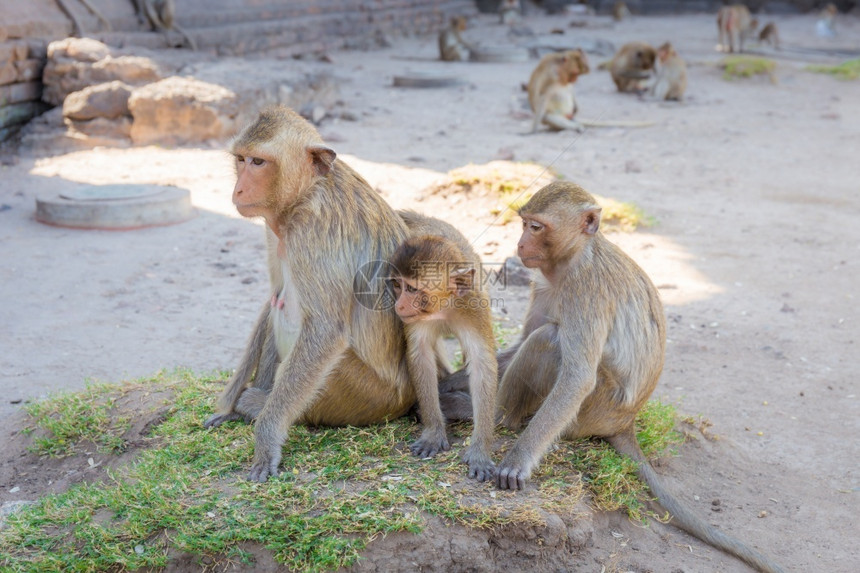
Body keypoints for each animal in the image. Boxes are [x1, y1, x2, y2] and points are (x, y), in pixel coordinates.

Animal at [202, 107, 416, 482]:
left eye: (258, 162)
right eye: (241, 159)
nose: (239, 189)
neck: (306, 192)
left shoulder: (311, 234)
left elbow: (326, 331)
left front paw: (266, 439)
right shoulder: (275, 229)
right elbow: (272, 297)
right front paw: (227, 405)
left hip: (363, 394)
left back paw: (257, 405)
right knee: (280, 306)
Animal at [390, 210, 498, 478]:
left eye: (412, 289)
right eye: (397, 285)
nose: (399, 306)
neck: (445, 306)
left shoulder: (474, 307)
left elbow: (481, 364)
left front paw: (480, 450)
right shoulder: (415, 320)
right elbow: (420, 355)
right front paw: (433, 432)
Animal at [444, 182, 788, 572]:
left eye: (536, 227)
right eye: (525, 224)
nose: (519, 245)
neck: (573, 258)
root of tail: (626, 422)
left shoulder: (584, 289)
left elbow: (577, 376)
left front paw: (517, 461)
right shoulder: (543, 283)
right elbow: (516, 346)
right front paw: (448, 382)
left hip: (594, 409)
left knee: (549, 342)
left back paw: (496, 417)